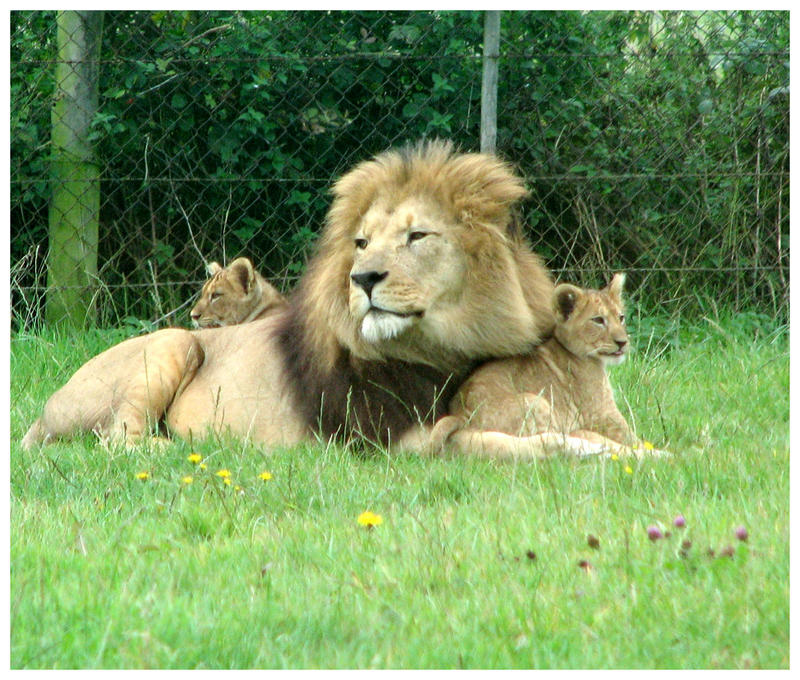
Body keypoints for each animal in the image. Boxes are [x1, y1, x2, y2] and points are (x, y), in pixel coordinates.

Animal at [23, 138, 564, 456]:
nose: (363, 279)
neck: (437, 350)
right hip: (173, 344)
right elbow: (501, 443)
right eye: (361, 242)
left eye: (417, 237)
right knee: (119, 440)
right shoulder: (396, 443)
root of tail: (45, 410)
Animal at [428, 274, 664, 460]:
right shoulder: (602, 412)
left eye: (620, 317)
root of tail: (461, 415)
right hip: (537, 402)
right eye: (598, 320)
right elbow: (632, 436)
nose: (622, 342)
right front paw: (661, 451)